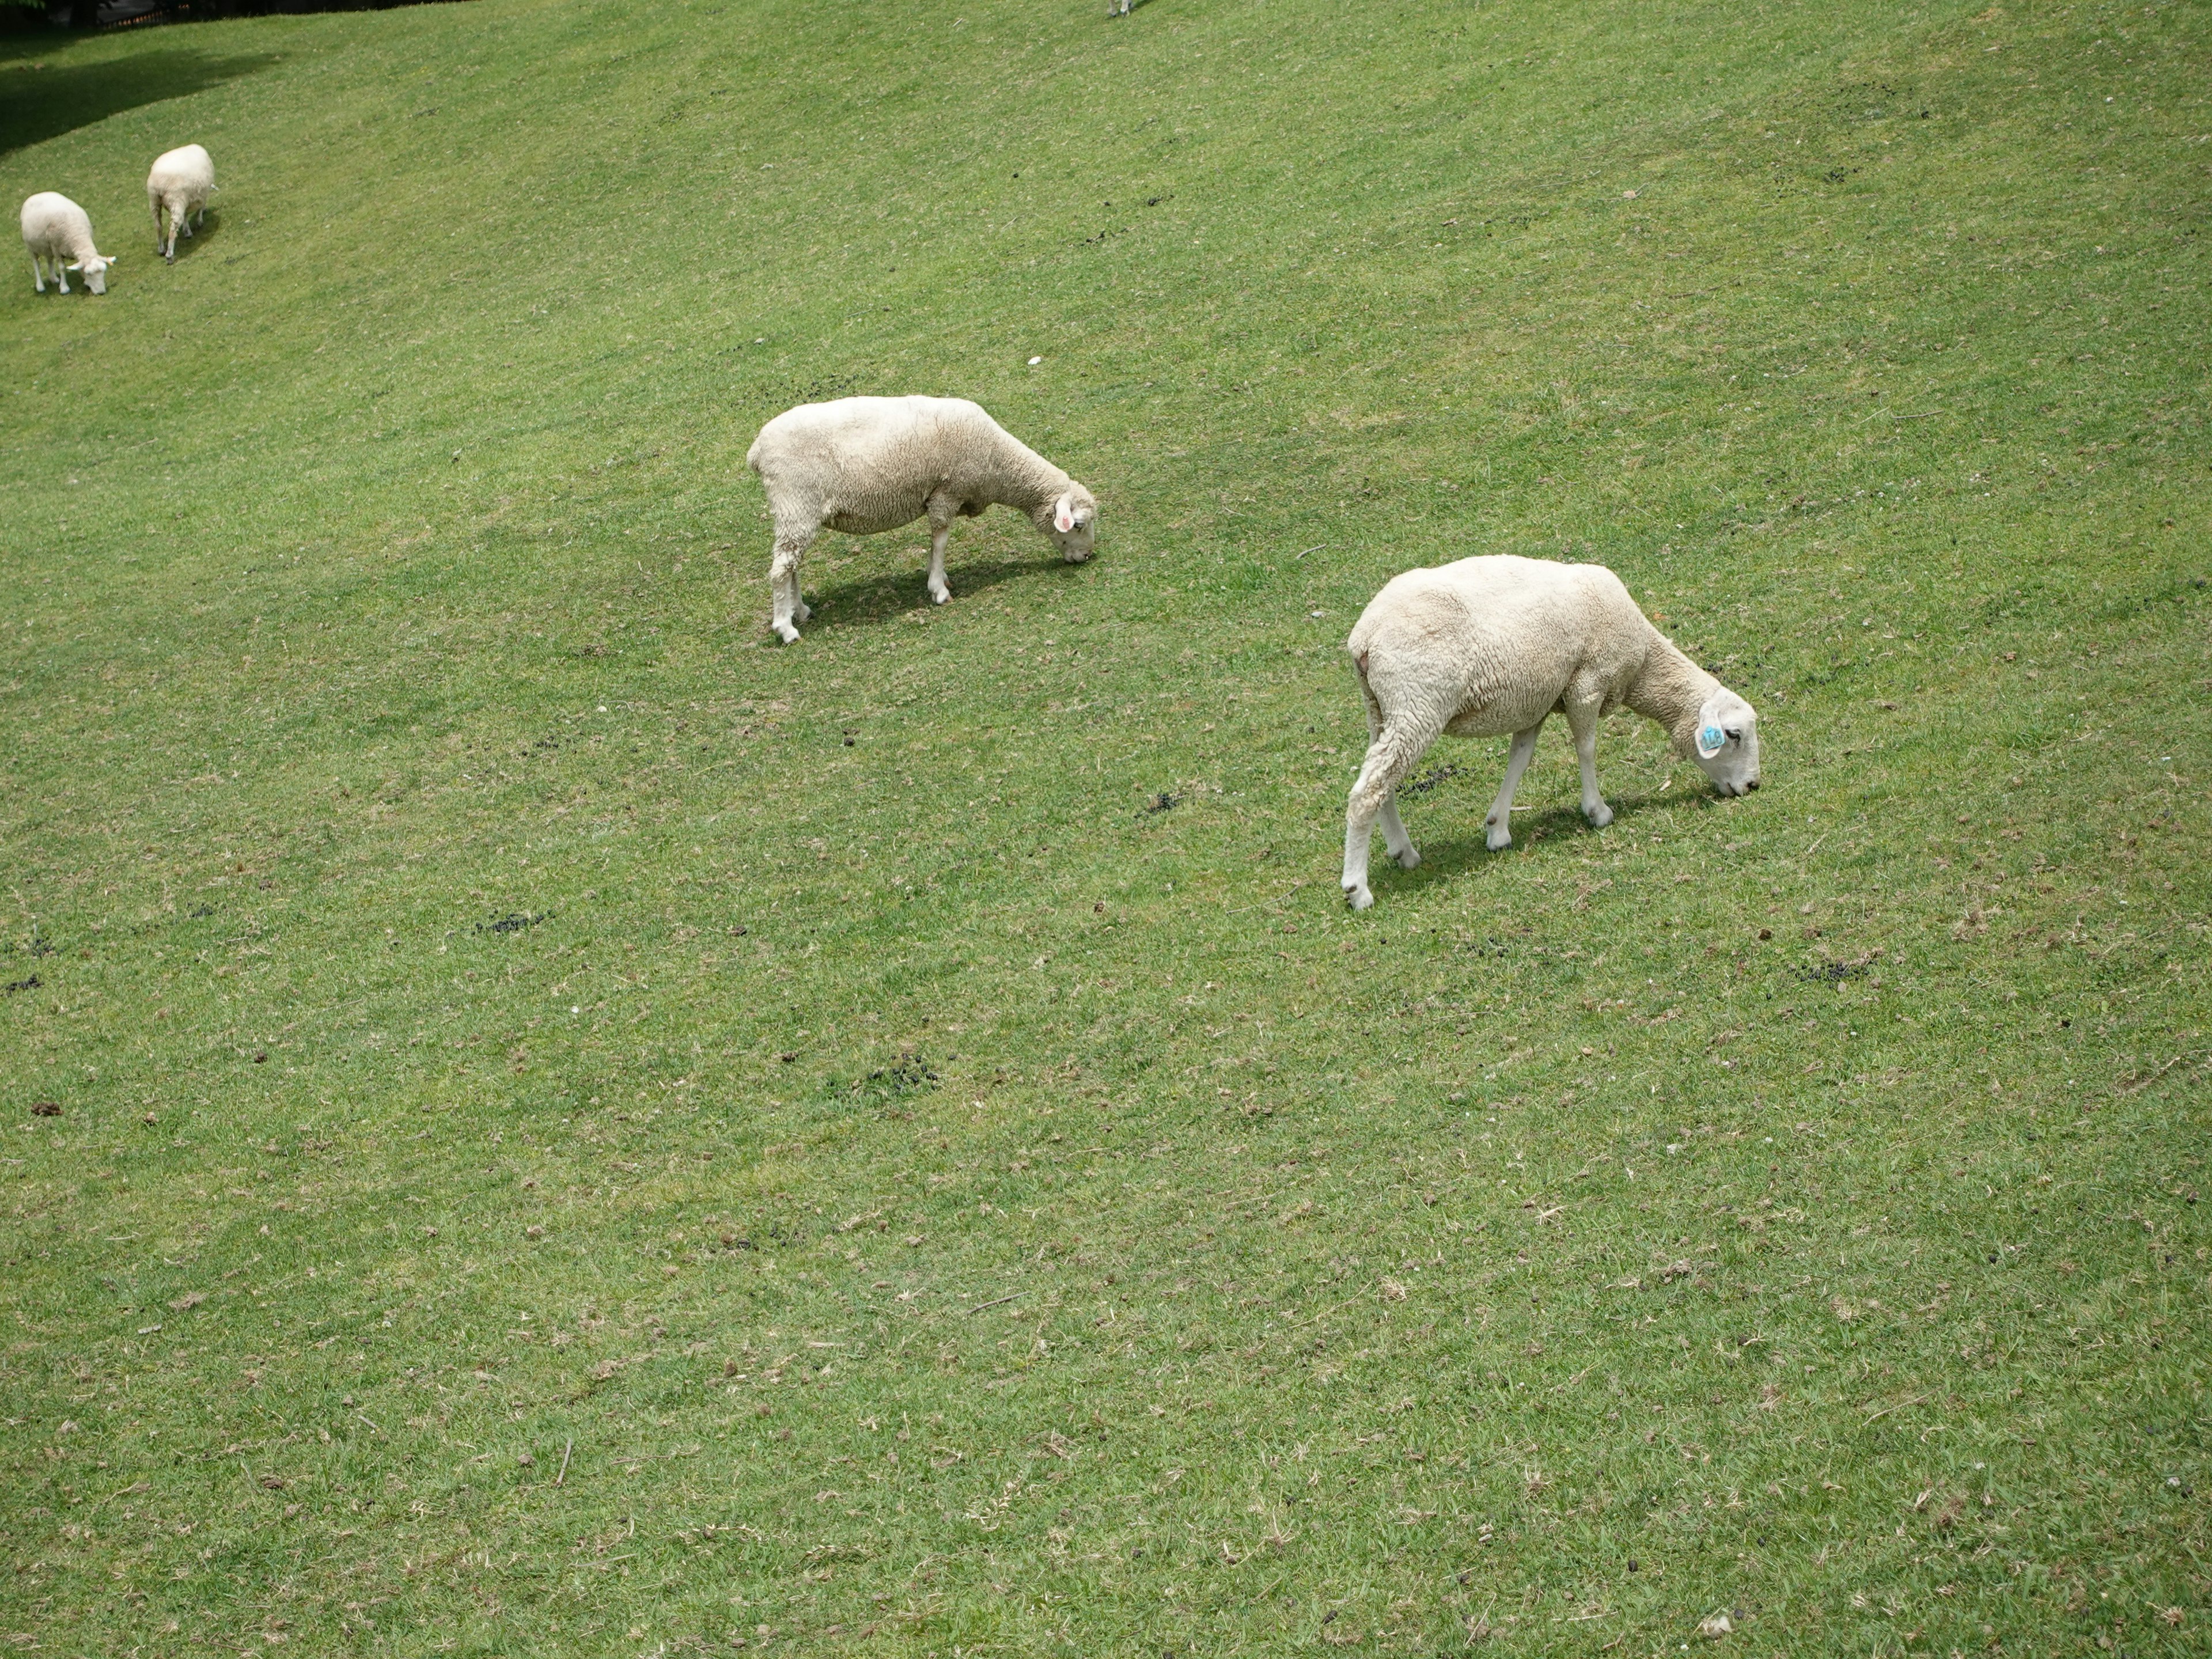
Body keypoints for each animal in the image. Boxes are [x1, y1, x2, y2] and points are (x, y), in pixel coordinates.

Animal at [21, 194, 116, 296]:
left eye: (104, 272)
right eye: (89, 274)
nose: (101, 292)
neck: (78, 233)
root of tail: (36, 195)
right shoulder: (56, 247)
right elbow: (62, 268)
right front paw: (64, 288)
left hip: (48, 247)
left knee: (49, 260)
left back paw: (54, 279)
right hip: (31, 247)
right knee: (36, 264)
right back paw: (40, 286)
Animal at [146, 146, 214, 266]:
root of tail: (159, 182)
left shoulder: (187, 200)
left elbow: (186, 215)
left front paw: (187, 231)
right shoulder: (201, 195)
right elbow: (199, 208)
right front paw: (200, 221)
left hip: (154, 201)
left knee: (158, 225)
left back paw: (161, 249)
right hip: (176, 199)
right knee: (173, 229)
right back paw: (169, 256)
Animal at [747, 393, 1101, 641]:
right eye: (1079, 524)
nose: (1087, 556)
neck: (997, 463)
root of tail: (757, 451)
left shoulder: (941, 495)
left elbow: (936, 545)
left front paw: (938, 576)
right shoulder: (947, 492)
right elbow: (941, 540)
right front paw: (939, 590)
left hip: (799, 512)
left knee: (792, 565)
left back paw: (800, 611)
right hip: (796, 503)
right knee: (781, 570)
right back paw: (786, 628)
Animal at [1327, 555, 1760, 911]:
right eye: (1734, 734)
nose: (1753, 786)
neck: (1643, 665)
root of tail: (1364, 637)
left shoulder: (1536, 702)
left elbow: (1520, 760)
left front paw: (1498, 829)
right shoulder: (1587, 684)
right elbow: (1586, 748)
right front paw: (1597, 811)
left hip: (1381, 708)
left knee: (1380, 781)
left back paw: (1404, 852)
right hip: (1418, 701)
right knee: (1368, 791)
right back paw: (1358, 889)